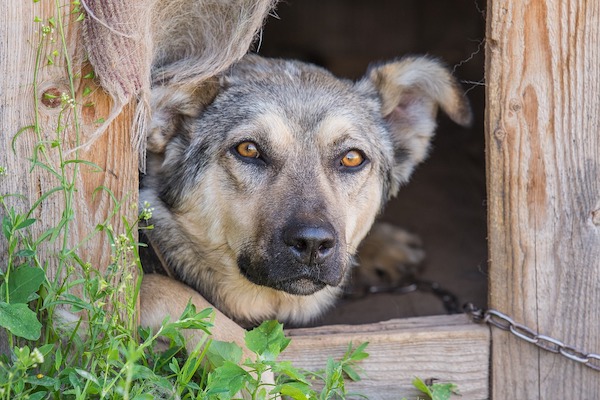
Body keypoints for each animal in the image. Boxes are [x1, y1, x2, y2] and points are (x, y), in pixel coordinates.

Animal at [138, 54, 472, 348]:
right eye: (248, 150)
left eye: (351, 158)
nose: (313, 244)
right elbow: (163, 288)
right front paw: (250, 364)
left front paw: (384, 244)